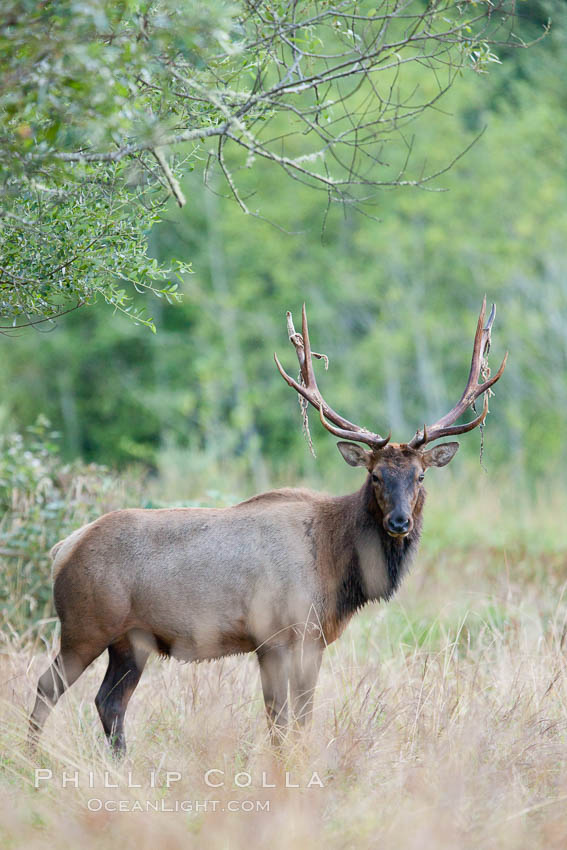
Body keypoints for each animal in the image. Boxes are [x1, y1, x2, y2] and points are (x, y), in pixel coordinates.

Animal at [28, 298, 508, 756]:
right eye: (375, 476)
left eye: (420, 476)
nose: (399, 521)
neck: (337, 568)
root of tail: (62, 549)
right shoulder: (273, 637)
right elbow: (279, 720)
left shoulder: (313, 640)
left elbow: (303, 717)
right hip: (84, 626)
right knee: (48, 687)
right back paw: (31, 759)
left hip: (131, 641)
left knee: (109, 702)